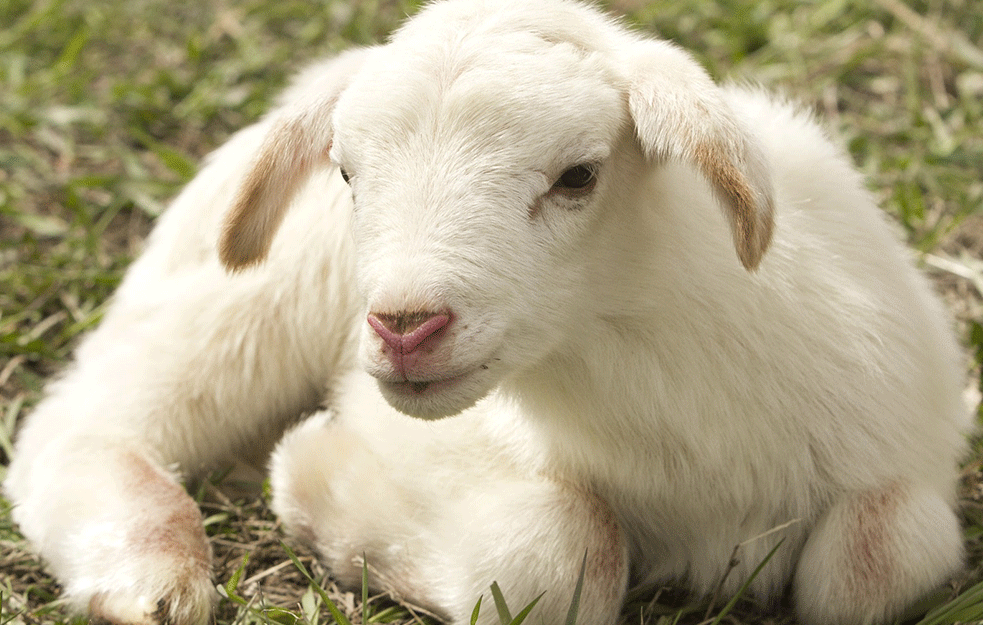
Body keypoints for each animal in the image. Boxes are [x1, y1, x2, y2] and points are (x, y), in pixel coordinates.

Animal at [1, 1, 968, 624]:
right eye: (346, 172)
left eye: (578, 174)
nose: (403, 325)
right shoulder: (424, 444)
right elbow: (562, 553)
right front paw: (315, 485)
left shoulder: (899, 453)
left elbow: (877, 559)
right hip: (240, 306)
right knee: (85, 422)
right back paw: (152, 576)